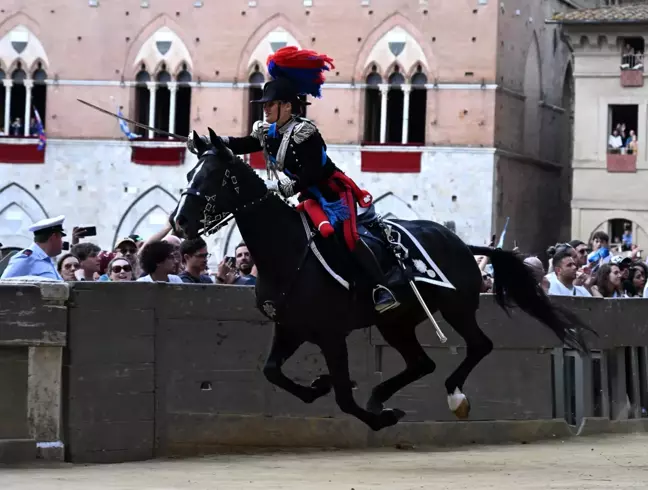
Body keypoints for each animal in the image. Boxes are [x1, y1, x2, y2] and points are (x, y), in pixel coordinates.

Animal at [173, 130, 592, 432]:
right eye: (191, 174)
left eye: (212, 176)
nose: (180, 222)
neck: (288, 252)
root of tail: (461, 243)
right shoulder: (291, 327)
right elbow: (272, 371)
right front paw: (320, 386)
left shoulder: (330, 334)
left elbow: (343, 396)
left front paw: (378, 417)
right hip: (397, 323)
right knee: (423, 363)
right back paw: (380, 396)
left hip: (456, 308)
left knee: (479, 345)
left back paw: (453, 398)